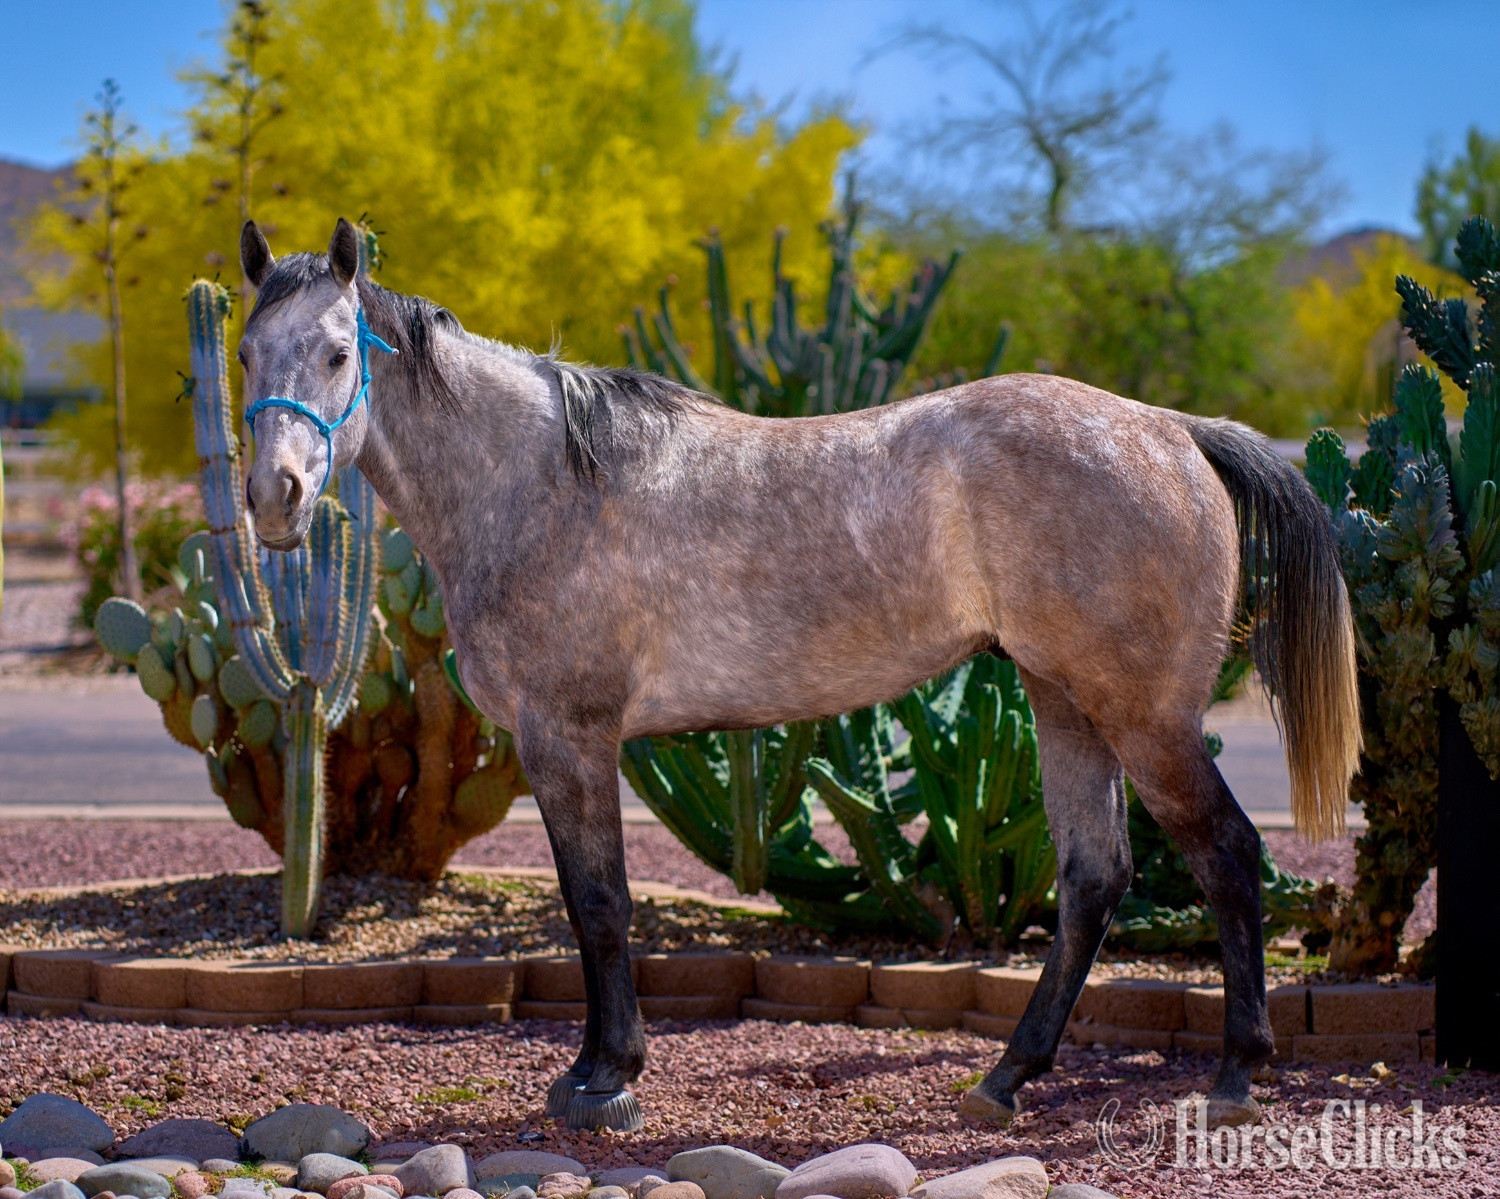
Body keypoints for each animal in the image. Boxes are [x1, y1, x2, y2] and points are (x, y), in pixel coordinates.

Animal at [235, 217, 1360, 1133]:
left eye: (339, 351)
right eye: (244, 353)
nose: (275, 497)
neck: (540, 482)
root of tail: (1174, 430)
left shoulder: (571, 735)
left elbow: (600, 903)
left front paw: (605, 1079)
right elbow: (586, 902)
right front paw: (595, 1068)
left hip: (1145, 717)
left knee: (1227, 854)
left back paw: (1234, 1076)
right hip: (1065, 702)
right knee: (1094, 877)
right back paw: (1005, 1079)